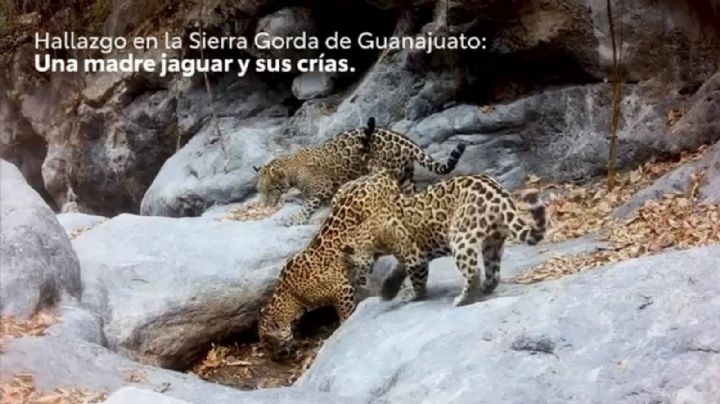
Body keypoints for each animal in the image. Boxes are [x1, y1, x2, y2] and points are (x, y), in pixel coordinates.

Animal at [254, 117, 466, 226]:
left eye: (271, 189)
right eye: (260, 190)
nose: (265, 205)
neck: (290, 167)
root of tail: (406, 140)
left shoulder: (322, 188)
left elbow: (308, 204)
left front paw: (296, 217)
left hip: (388, 170)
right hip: (405, 175)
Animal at [257, 169, 402, 358]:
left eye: (270, 343)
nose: (274, 357)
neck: (291, 296)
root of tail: (380, 174)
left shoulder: (341, 289)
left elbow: (345, 313)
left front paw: (343, 327)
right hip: (339, 193)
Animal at [340, 169, 547, 307]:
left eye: (351, 266)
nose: (354, 283)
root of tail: (501, 198)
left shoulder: (414, 255)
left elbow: (418, 280)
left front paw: (413, 295)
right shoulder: (406, 255)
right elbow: (398, 270)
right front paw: (388, 291)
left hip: (460, 237)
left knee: (474, 271)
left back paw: (463, 299)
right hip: (493, 241)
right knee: (493, 272)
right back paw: (485, 288)